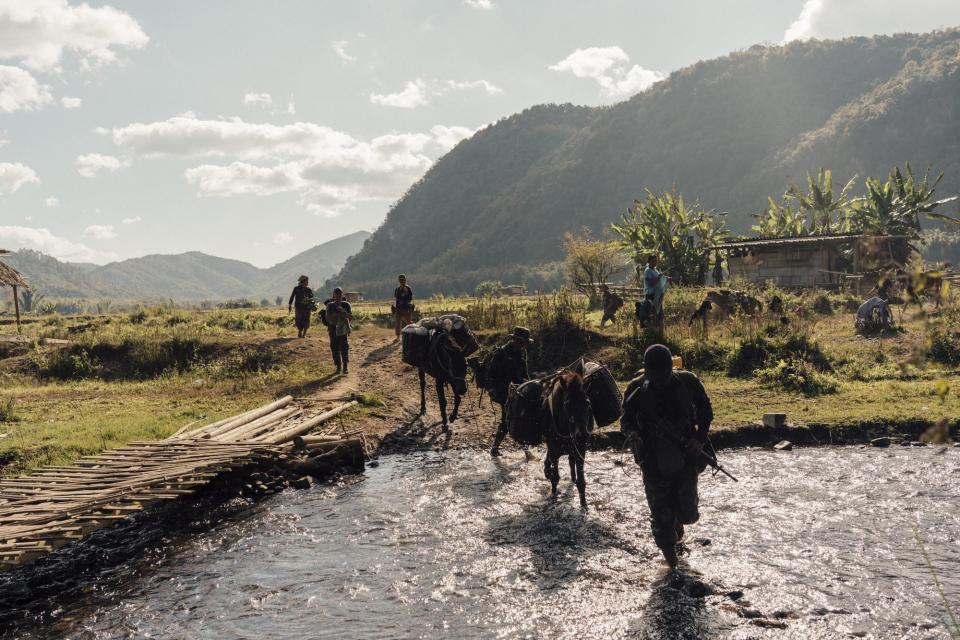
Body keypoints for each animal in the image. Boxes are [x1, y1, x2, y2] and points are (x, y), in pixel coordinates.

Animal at [540, 370, 592, 510]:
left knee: (570, 460)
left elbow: (581, 481)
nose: (582, 435)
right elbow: (555, 477)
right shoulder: (554, 450)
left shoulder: (580, 449)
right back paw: (547, 470)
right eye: (567, 404)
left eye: (587, 403)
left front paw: (584, 505)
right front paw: (553, 495)